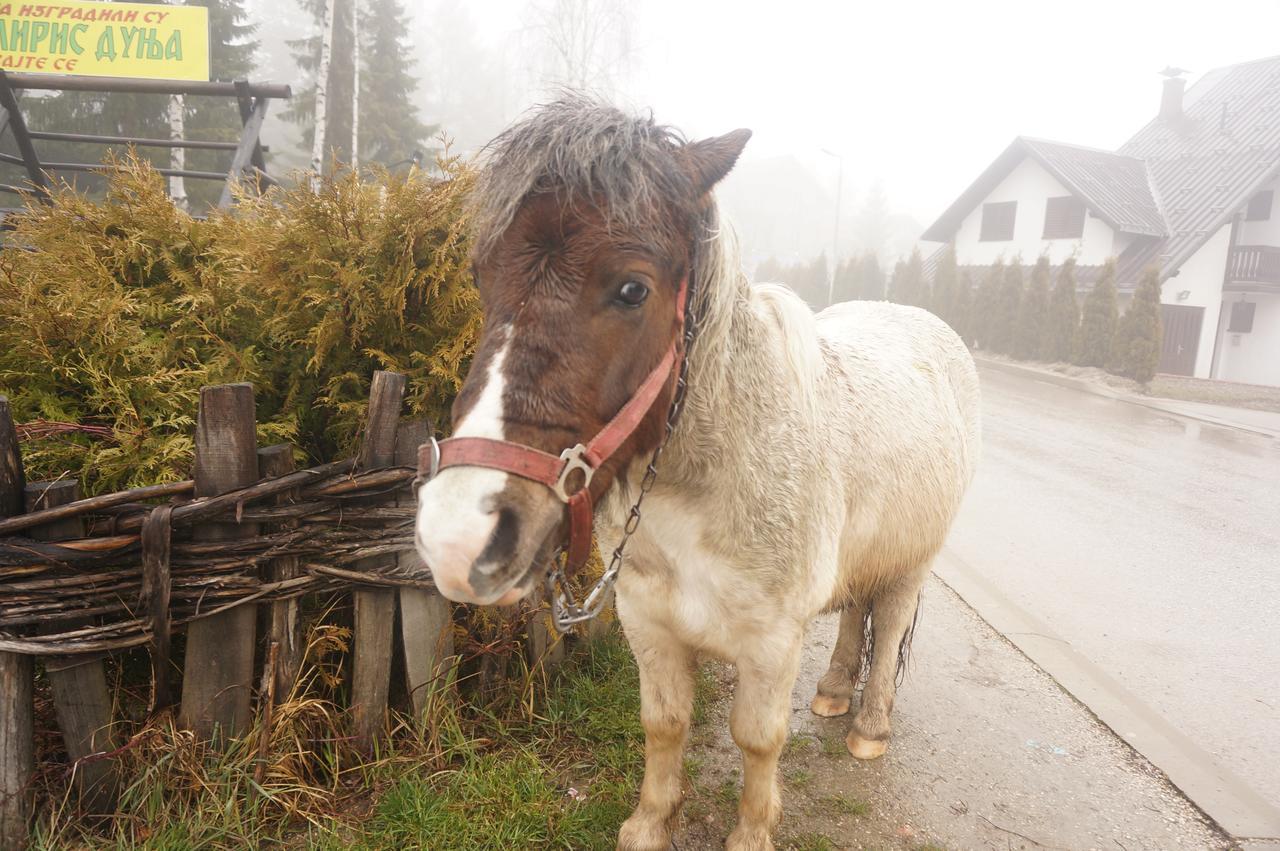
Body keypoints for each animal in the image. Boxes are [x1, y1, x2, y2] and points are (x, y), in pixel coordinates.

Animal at [414, 95, 972, 844]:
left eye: (632, 288)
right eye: (480, 275)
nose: (456, 536)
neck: (713, 484)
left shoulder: (771, 644)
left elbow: (757, 739)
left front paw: (751, 832)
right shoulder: (648, 624)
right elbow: (665, 723)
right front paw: (651, 822)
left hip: (911, 564)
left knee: (885, 627)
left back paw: (869, 726)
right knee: (857, 609)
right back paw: (831, 693)